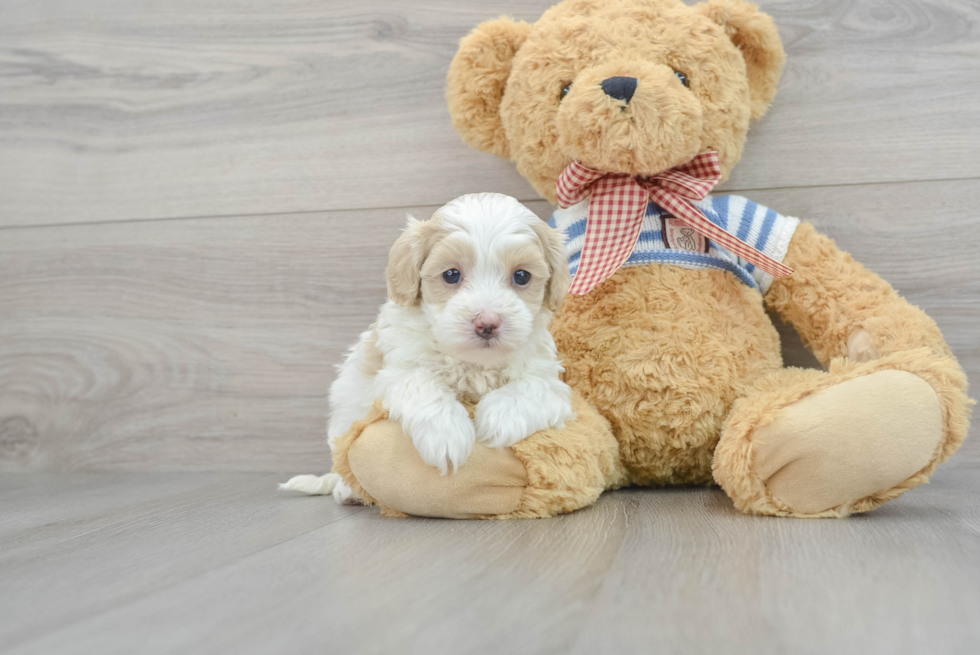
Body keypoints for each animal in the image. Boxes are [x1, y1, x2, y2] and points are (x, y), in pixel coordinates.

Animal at [282, 192, 576, 504]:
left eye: (521, 276)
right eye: (451, 274)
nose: (487, 322)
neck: (473, 363)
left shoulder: (548, 378)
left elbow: (534, 388)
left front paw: (499, 418)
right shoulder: (397, 370)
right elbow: (423, 384)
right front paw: (448, 436)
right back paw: (346, 490)